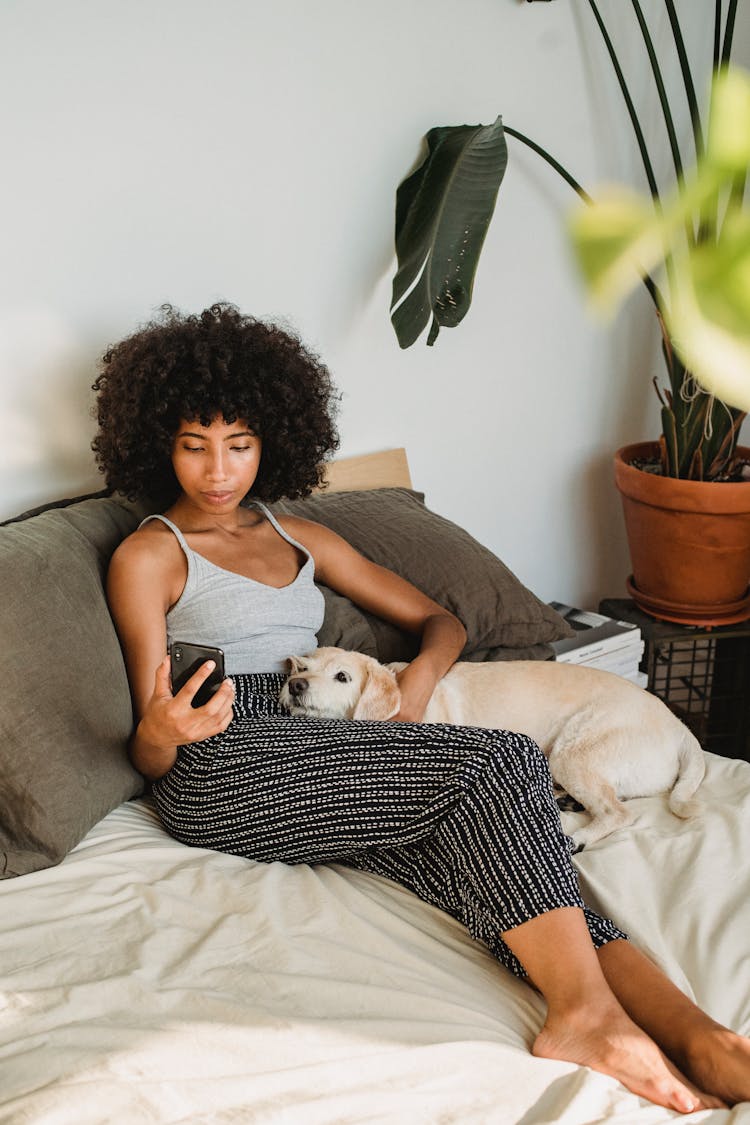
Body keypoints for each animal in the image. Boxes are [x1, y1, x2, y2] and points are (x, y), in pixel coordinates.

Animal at [279, 648, 706, 846]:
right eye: (302, 669)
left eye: (342, 677)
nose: (295, 685)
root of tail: (682, 730)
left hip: (573, 751)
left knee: (620, 812)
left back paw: (579, 835)